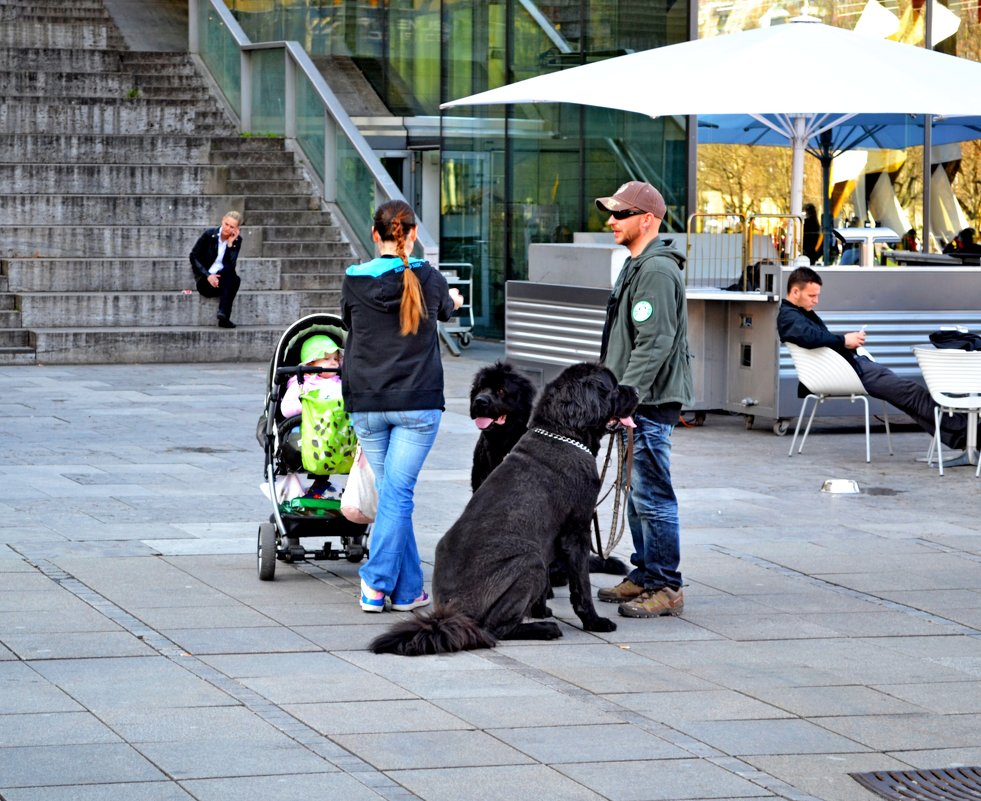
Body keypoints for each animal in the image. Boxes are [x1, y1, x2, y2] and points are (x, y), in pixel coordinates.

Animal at [372, 362, 640, 656]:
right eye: (613, 387)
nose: (637, 391)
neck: (562, 433)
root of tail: (451, 613)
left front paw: (540, 610)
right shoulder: (576, 533)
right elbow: (581, 587)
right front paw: (594, 622)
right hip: (529, 562)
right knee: (495, 629)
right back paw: (545, 629)